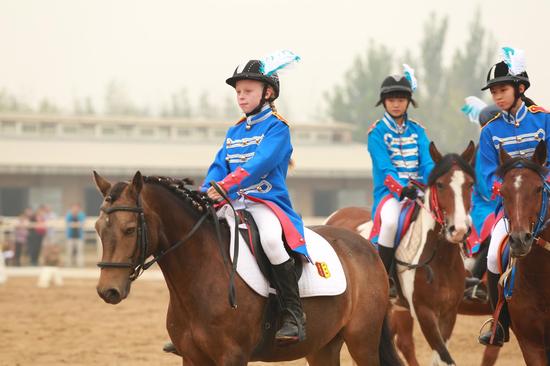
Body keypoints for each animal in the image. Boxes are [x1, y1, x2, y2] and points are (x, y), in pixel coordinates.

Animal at [92, 170, 406, 364]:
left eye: (130, 229)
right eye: (98, 228)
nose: (108, 290)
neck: (200, 274)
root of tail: (366, 246)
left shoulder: (232, 357)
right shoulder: (192, 357)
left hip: (362, 342)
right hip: (322, 347)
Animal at [328, 142, 478, 366]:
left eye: (469, 184)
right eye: (440, 185)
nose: (458, 230)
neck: (441, 260)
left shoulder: (449, 313)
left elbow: (441, 359)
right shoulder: (424, 313)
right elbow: (444, 357)